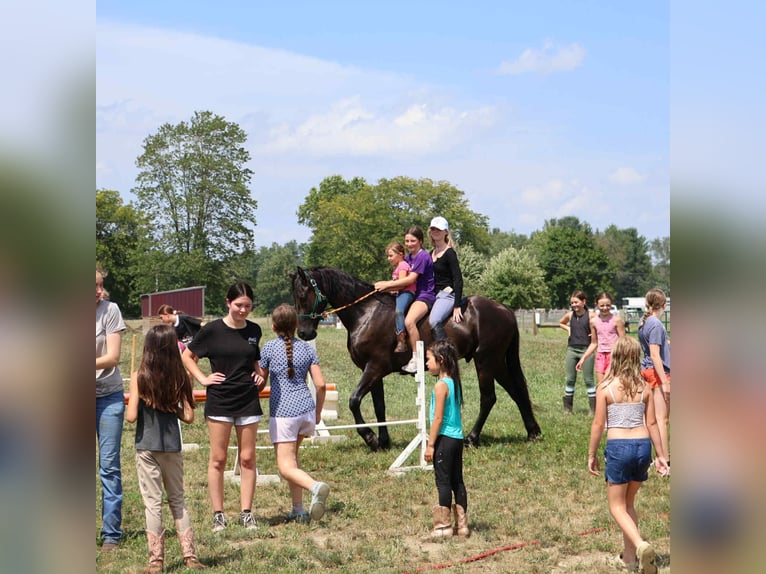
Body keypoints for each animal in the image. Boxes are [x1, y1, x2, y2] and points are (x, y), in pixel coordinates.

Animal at [290, 266, 542, 451]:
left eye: (303, 294)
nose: (303, 333)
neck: (366, 312)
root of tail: (504, 310)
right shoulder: (373, 371)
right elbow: (379, 406)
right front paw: (383, 441)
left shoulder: (374, 367)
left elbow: (354, 401)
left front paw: (370, 437)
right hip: (496, 363)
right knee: (516, 392)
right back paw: (532, 432)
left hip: (486, 362)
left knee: (489, 398)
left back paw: (472, 438)